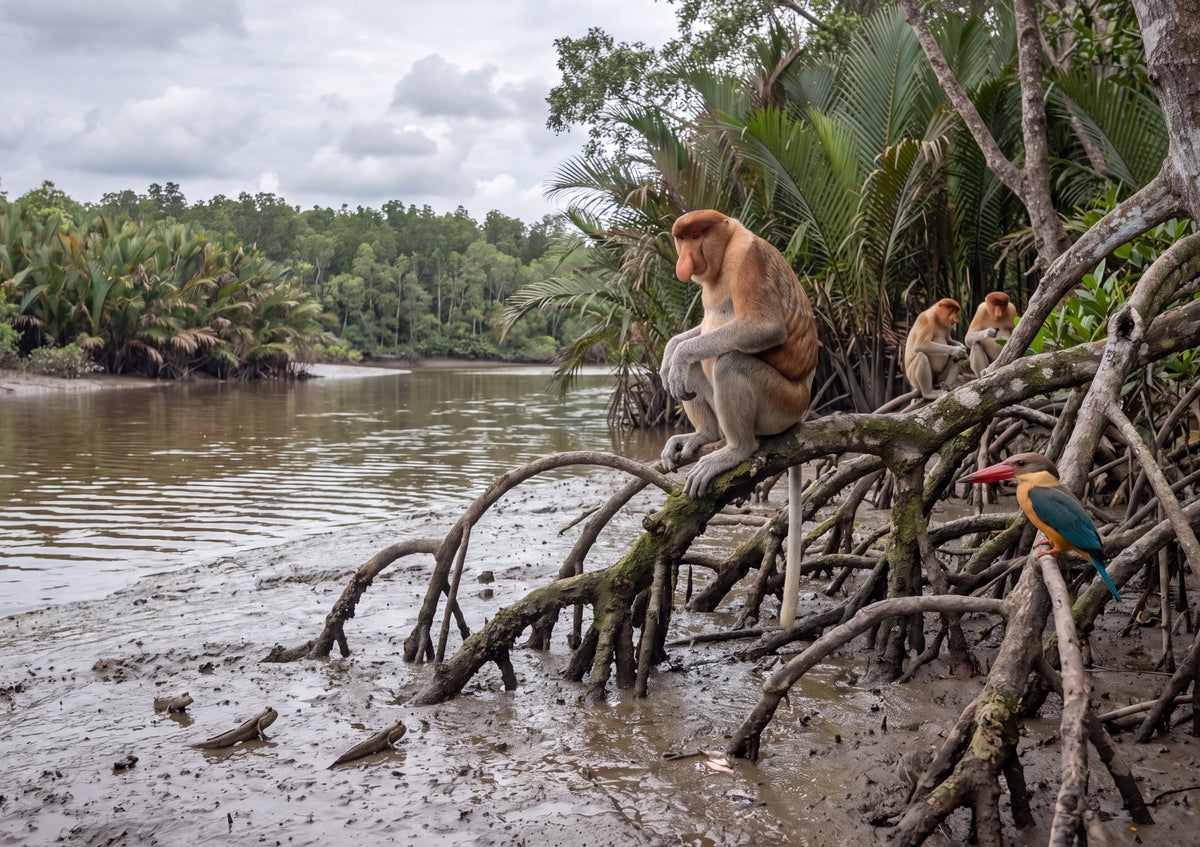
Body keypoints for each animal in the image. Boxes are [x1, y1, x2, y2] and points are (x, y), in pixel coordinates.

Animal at [660, 209, 819, 631]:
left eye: (696, 237)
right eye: (680, 239)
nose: (684, 260)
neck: (726, 247)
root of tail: (803, 405)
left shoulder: (748, 260)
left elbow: (764, 327)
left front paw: (677, 353)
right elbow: (698, 332)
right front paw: (669, 353)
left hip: (780, 402)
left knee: (729, 359)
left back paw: (734, 450)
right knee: (704, 361)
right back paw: (702, 435)